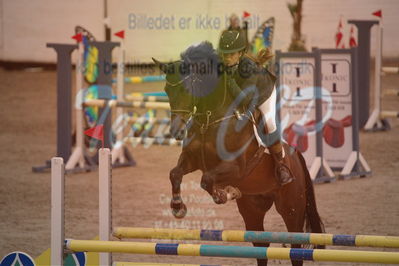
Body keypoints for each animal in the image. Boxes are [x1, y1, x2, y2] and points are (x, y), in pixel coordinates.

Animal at [153, 42, 324, 266]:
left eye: (186, 88)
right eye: (166, 90)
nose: (176, 131)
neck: (210, 119)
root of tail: (297, 157)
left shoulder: (236, 167)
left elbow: (206, 180)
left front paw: (224, 193)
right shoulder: (192, 160)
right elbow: (175, 173)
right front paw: (177, 207)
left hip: (291, 208)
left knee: (296, 247)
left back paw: (283, 174)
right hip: (253, 209)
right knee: (261, 246)